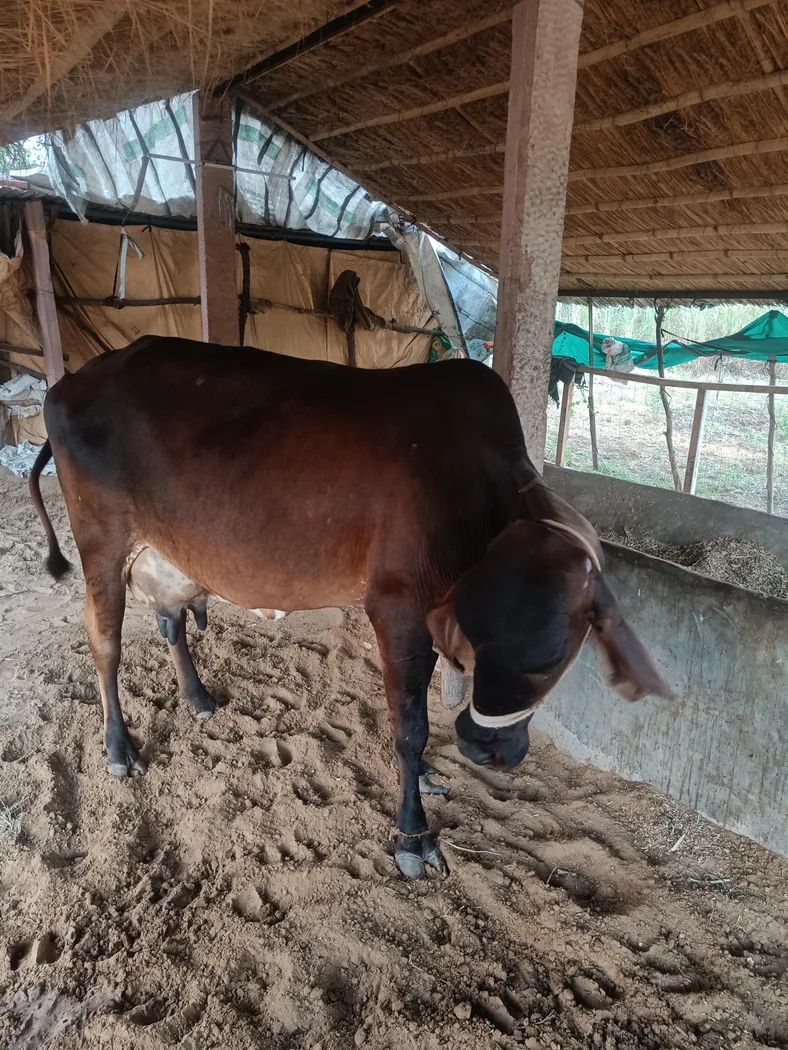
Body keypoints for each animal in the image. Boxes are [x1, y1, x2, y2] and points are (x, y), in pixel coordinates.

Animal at [30, 336, 671, 879]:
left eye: (557, 656)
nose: (487, 746)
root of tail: (73, 381)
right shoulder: (397, 608)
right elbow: (409, 728)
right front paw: (414, 835)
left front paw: (430, 776)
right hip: (101, 545)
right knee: (105, 639)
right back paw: (119, 748)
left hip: (169, 554)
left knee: (172, 620)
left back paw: (198, 698)